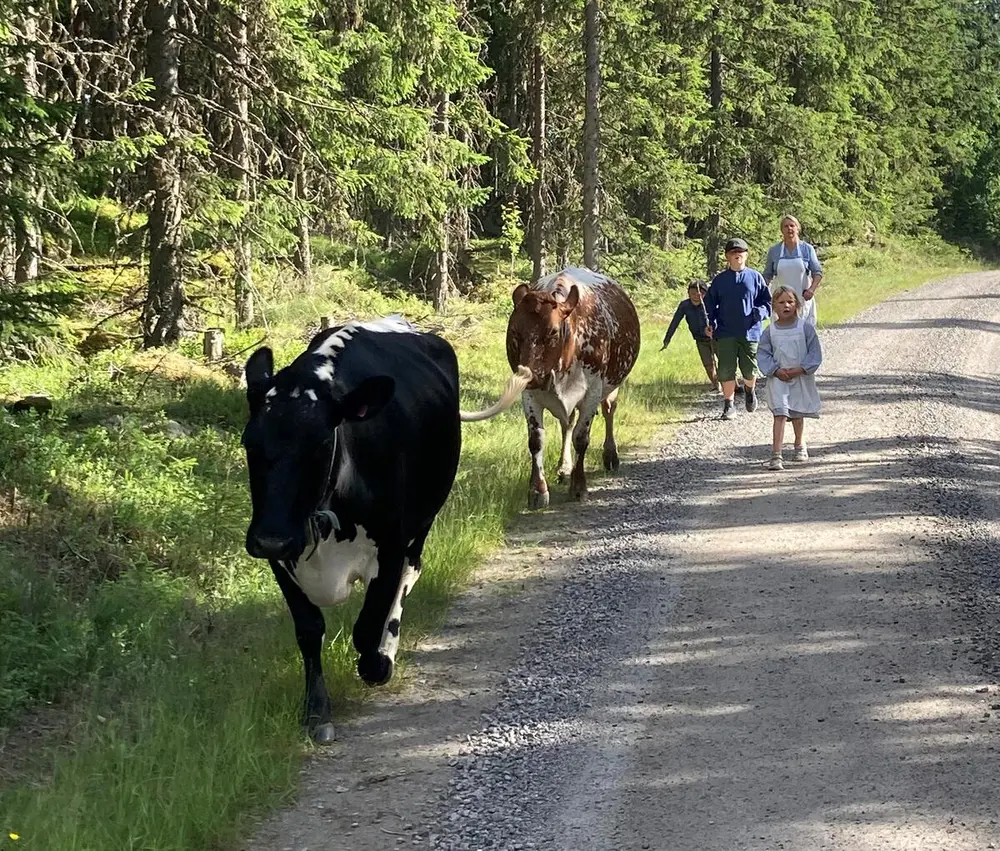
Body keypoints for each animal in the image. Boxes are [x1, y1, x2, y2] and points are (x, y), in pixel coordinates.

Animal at [242, 316, 528, 744]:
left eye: (320, 442)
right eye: (249, 442)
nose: (270, 537)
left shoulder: (391, 544)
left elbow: (367, 625)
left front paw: (376, 665)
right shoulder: (282, 557)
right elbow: (309, 630)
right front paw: (316, 711)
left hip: (423, 520)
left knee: (410, 574)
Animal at [504, 268, 636, 506]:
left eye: (553, 332)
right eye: (515, 333)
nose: (530, 376)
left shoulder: (592, 392)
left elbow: (581, 438)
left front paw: (579, 486)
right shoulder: (529, 394)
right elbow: (536, 440)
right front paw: (537, 491)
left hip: (611, 386)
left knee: (609, 411)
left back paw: (610, 456)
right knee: (567, 423)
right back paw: (564, 467)